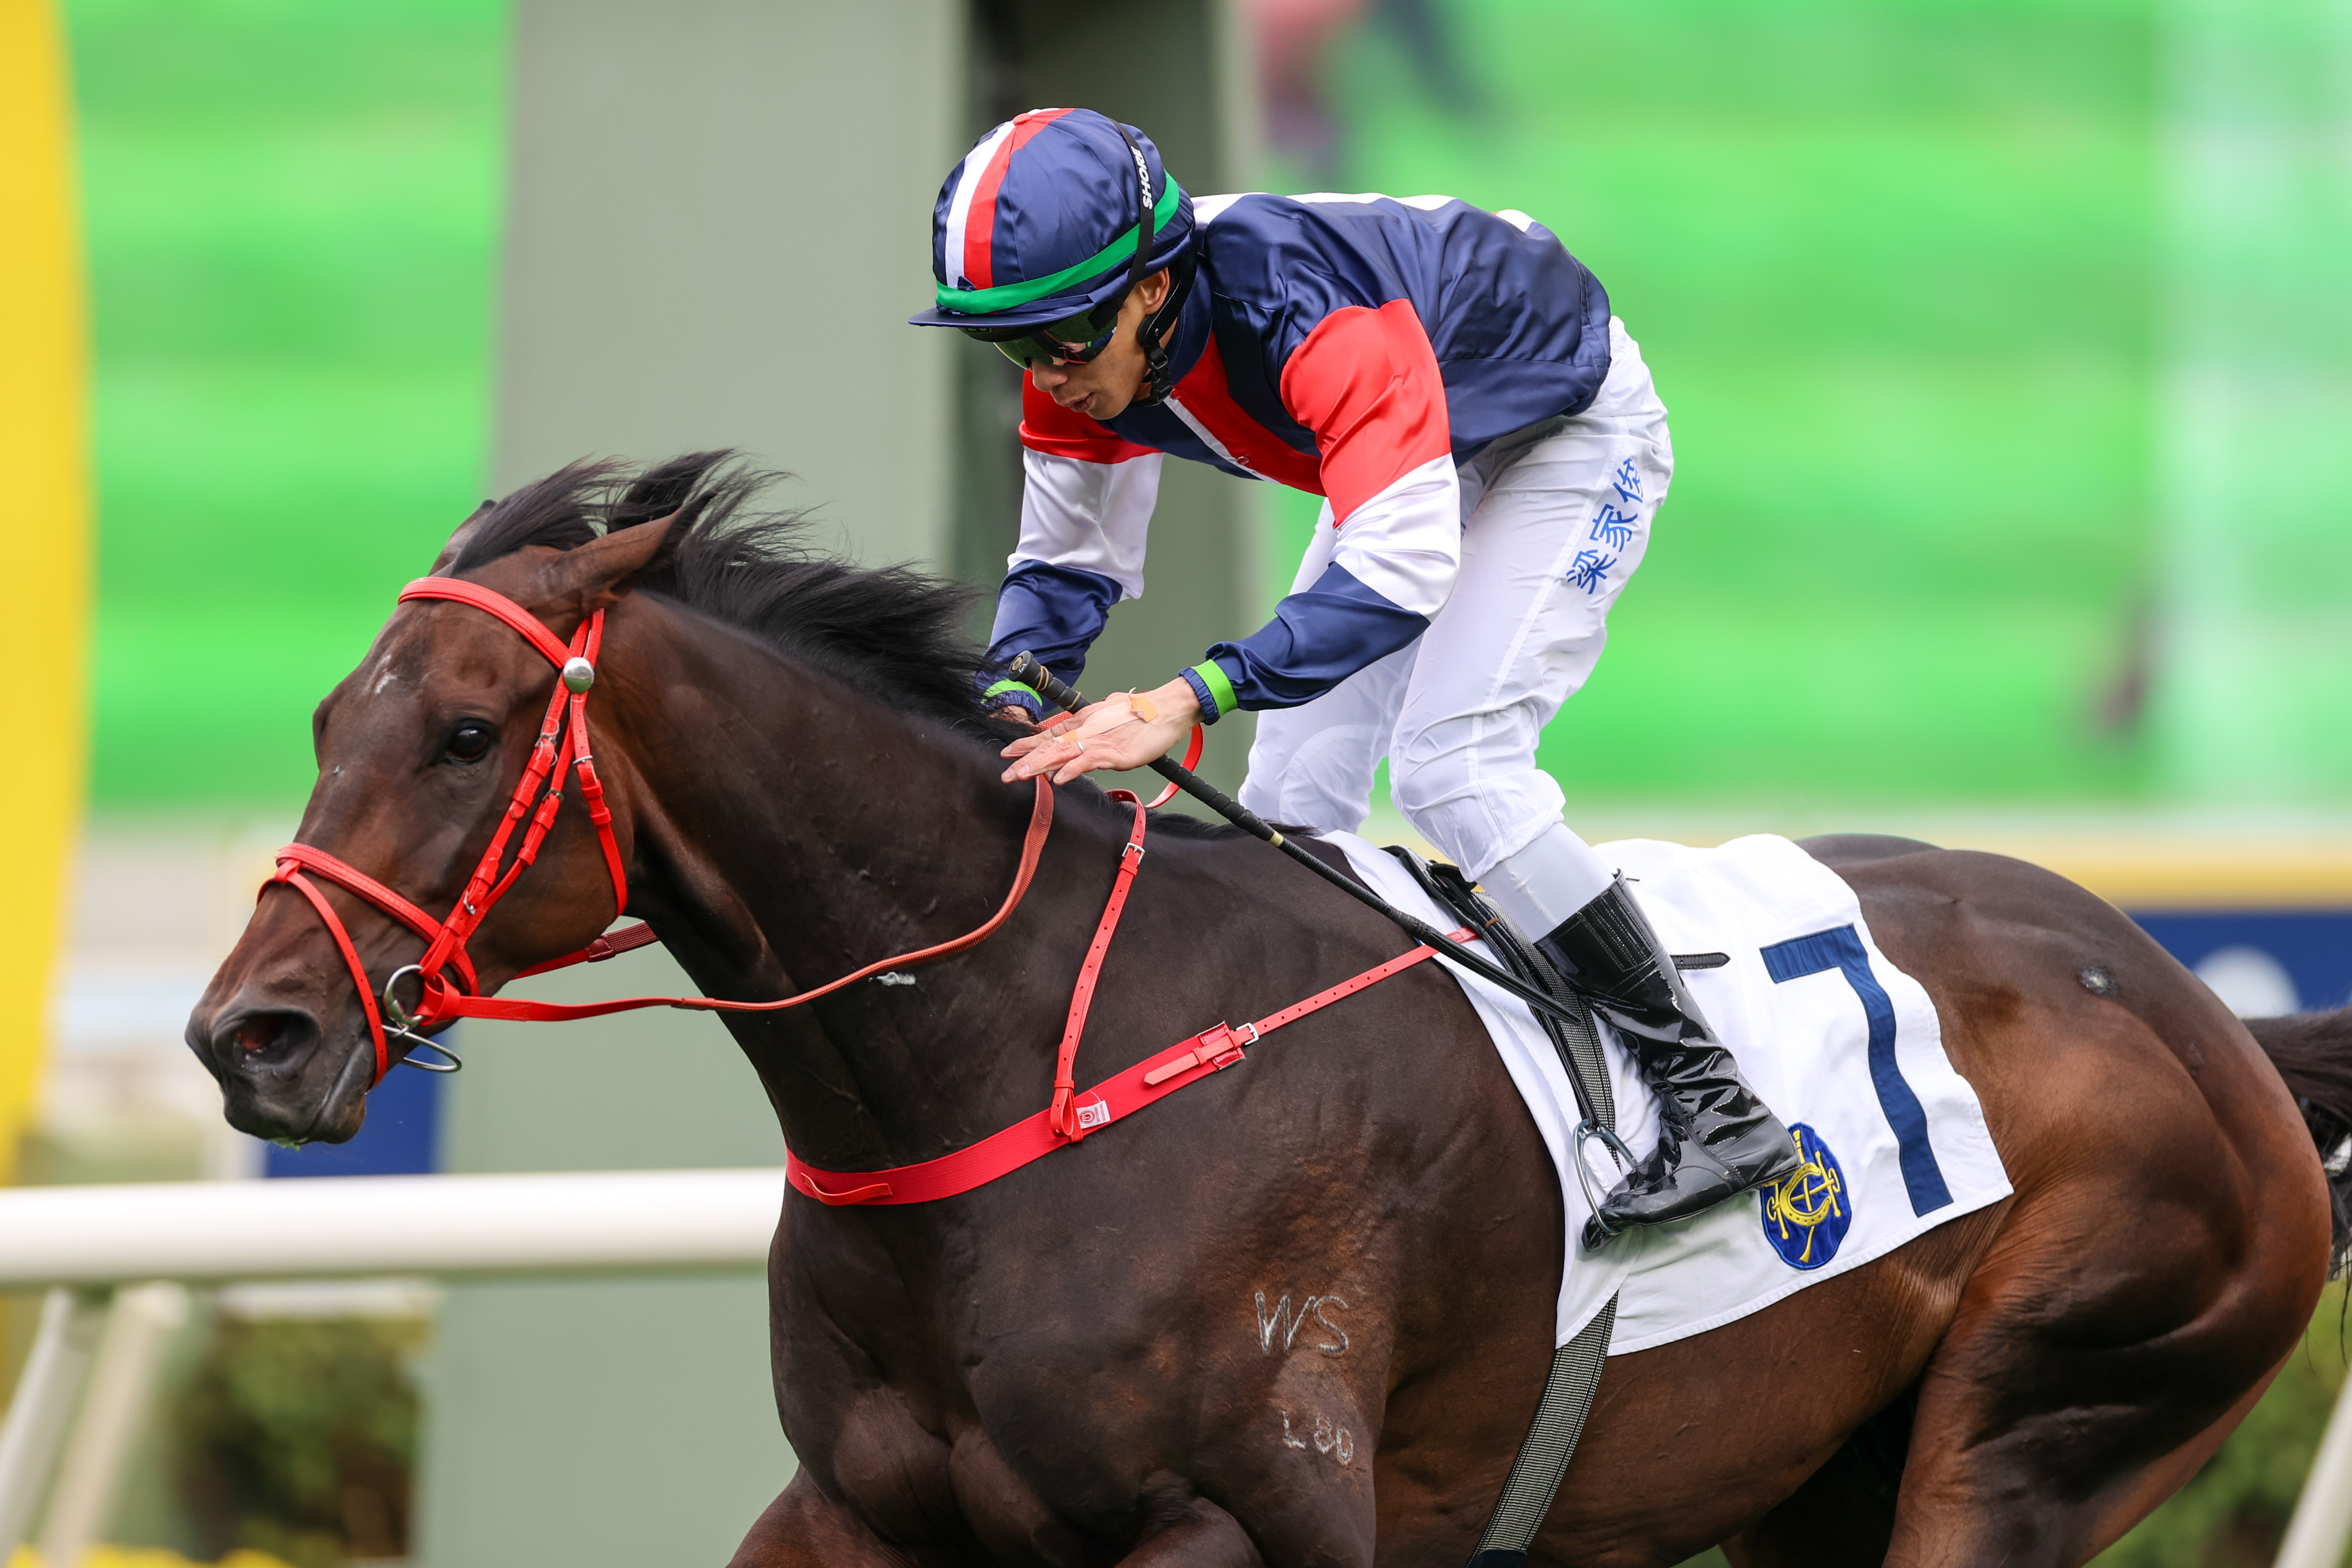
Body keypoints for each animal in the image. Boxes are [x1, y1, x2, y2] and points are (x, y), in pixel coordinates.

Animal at [188, 451, 2352, 1568]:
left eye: (468, 733)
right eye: (323, 717)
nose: (250, 1036)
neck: (1008, 1058)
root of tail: (2202, 1017)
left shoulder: (1247, 1520)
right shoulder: (858, 1519)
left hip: (2038, 1415)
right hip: (1815, 1488)